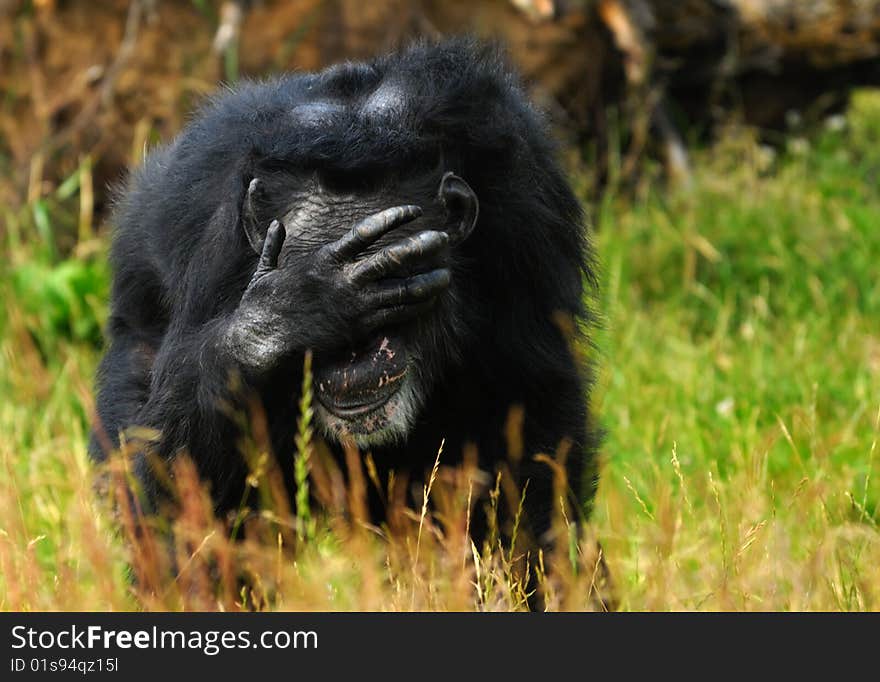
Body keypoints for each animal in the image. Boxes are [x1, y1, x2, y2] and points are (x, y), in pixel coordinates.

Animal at [89, 38, 600, 564]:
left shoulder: (524, 219)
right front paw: (297, 305)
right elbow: (185, 478)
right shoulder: (214, 249)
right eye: (297, 266)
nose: (354, 355)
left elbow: (527, 415)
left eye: (396, 272)